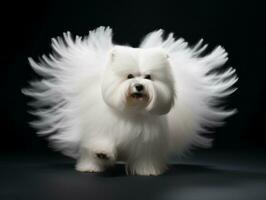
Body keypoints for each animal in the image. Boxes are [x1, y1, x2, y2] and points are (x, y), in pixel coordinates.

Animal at [22, 26, 238, 175]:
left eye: (148, 77)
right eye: (129, 76)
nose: (139, 86)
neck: (132, 110)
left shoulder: (148, 143)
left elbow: (145, 157)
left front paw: (147, 171)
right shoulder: (101, 129)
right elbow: (102, 142)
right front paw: (103, 154)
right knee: (88, 154)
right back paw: (90, 167)